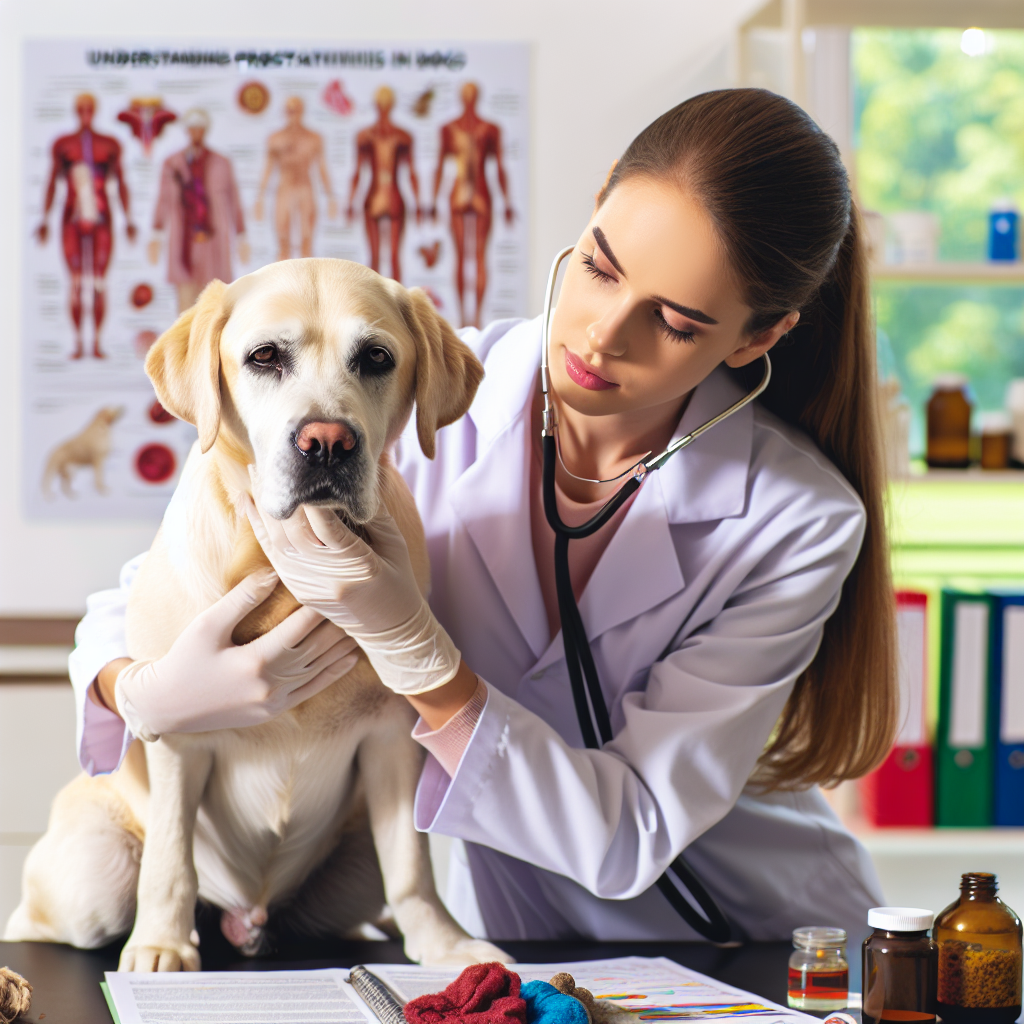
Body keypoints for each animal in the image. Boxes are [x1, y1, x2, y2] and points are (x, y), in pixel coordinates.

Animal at [6, 260, 505, 970]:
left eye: (377, 357)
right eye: (265, 356)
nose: (326, 442)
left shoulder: (391, 740)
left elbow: (412, 867)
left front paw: (445, 944)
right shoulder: (180, 742)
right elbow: (171, 860)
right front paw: (161, 946)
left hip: (353, 870)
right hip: (91, 871)